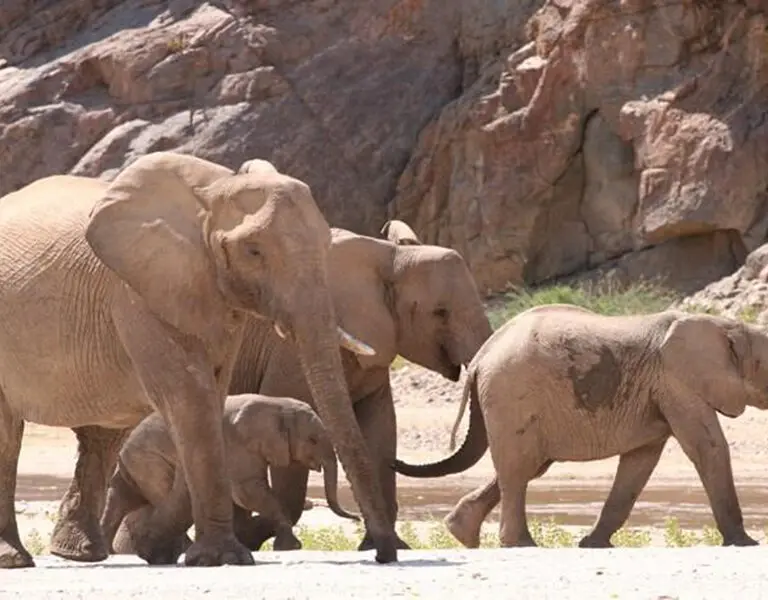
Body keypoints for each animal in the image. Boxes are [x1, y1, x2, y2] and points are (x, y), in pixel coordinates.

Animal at [102, 394, 358, 561]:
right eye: (312, 440)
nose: (357, 518)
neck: (277, 404)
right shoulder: (237, 445)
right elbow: (248, 492)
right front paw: (291, 547)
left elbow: (240, 496)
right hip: (150, 461)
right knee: (161, 496)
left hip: (136, 464)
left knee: (122, 500)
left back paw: (109, 552)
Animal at [393, 304, 768, 549]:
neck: (729, 325)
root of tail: (481, 357)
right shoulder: (678, 381)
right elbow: (708, 448)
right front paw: (744, 543)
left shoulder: (662, 389)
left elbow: (639, 464)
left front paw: (593, 545)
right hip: (511, 394)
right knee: (519, 468)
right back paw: (521, 545)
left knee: (528, 466)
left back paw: (462, 534)